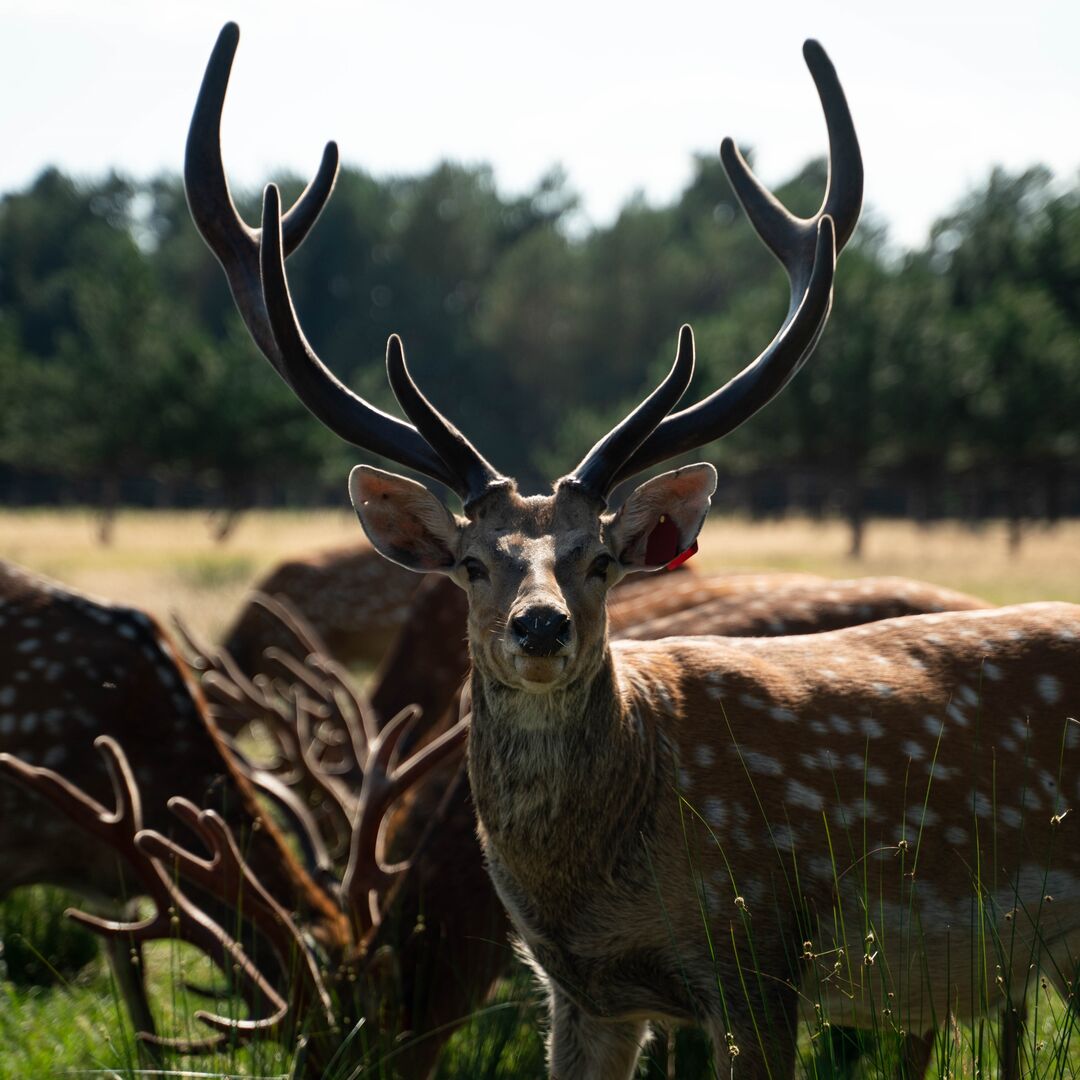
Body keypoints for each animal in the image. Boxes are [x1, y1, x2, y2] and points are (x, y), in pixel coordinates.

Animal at [185, 25, 1080, 1080]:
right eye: (472, 562)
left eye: (601, 559)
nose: (539, 627)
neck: (598, 886)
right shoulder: (582, 991)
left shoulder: (760, 956)